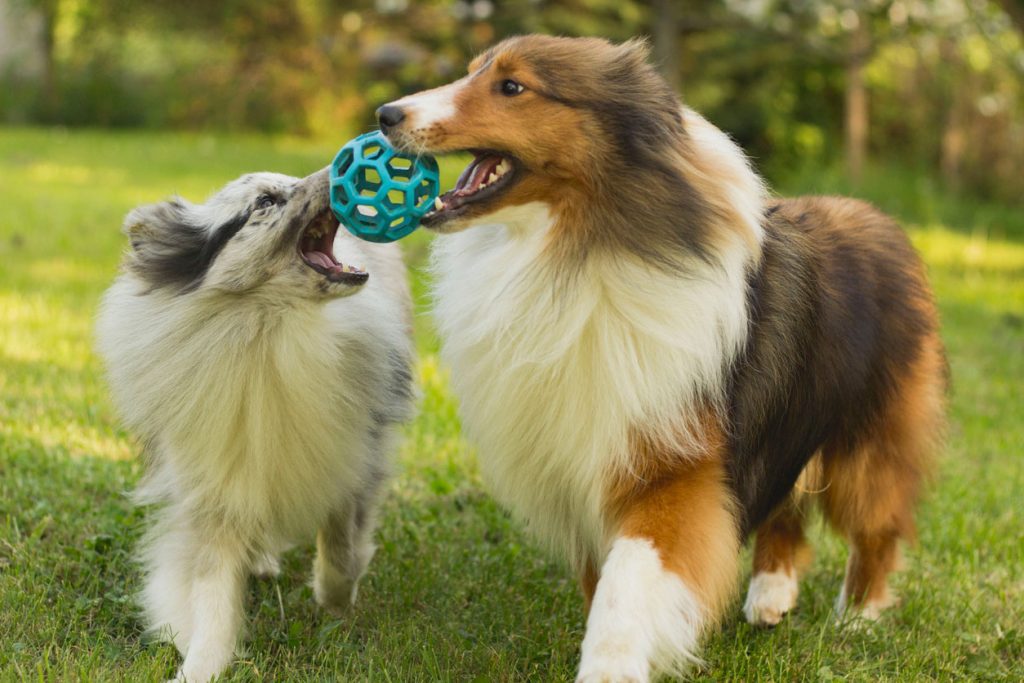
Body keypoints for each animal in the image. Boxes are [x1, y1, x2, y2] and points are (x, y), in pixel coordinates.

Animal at [95, 166, 415, 683]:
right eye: (265, 201)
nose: (341, 169)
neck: (271, 328)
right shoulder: (216, 487)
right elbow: (213, 600)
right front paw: (199, 667)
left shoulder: (352, 459)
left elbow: (342, 549)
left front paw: (335, 600)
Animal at [380, 36, 946, 679]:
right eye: (474, 71)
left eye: (512, 87)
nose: (386, 115)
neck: (576, 253)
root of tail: (881, 218)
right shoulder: (577, 461)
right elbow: (600, 578)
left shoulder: (672, 469)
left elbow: (629, 578)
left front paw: (611, 664)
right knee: (787, 512)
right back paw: (771, 595)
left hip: (868, 440)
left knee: (878, 527)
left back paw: (857, 616)